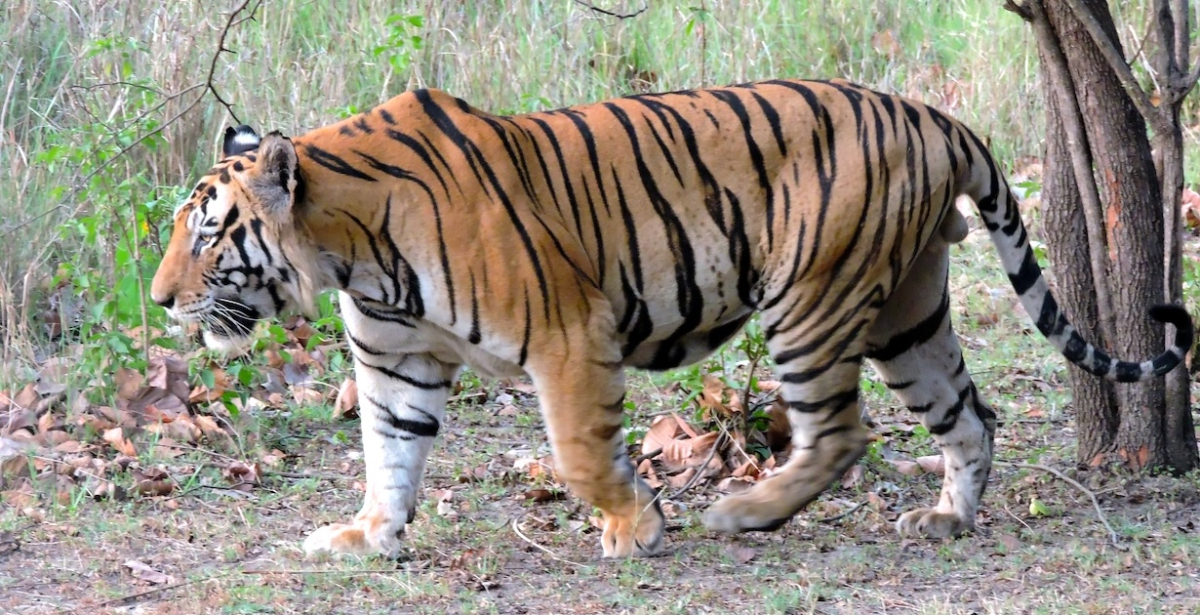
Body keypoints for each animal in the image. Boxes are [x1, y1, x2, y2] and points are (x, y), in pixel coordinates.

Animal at [150, 79, 1193, 559]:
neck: (351, 250)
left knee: (841, 430)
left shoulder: (569, 336)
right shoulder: (397, 363)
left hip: (810, 300)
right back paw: (946, 516)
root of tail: (935, 116)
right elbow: (389, 453)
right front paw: (368, 534)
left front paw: (638, 526)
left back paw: (747, 509)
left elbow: (578, 452)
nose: (158, 301)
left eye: (206, 233)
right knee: (971, 415)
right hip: (910, 311)